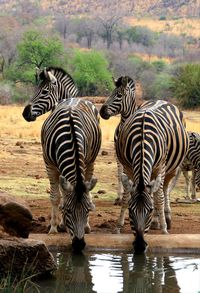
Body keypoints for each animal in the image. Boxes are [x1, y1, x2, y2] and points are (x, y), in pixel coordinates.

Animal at [41, 97, 101, 251]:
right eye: (68, 211)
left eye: (87, 211)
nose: (79, 245)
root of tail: (76, 98)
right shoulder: (49, 165)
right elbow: (55, 197)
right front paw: (54, 228)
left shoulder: (84, 160)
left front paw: (85, 226)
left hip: (91, 160)